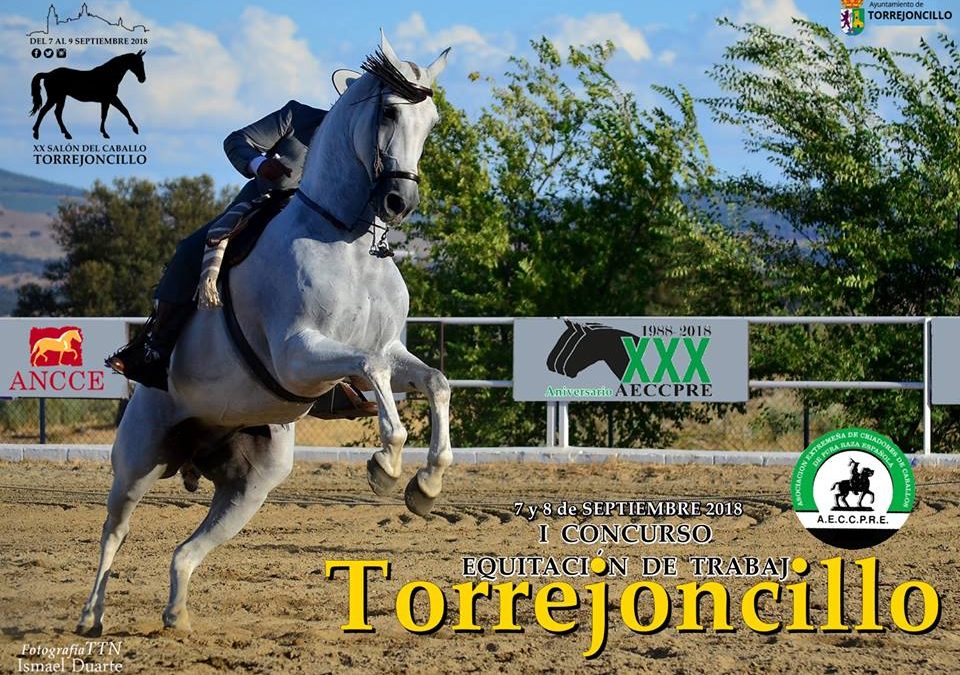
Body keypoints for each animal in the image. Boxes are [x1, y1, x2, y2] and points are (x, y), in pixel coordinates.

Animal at [76, 32, 451, 637]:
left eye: (432, 121)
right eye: (391, 112)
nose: (400, 204)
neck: (346, 240)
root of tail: (196, 450)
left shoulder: (391, 348)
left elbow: (434, 380)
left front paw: (426, 486)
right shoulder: (298, 356)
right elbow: (370, 368)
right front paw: (387, 467)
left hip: (251, 486)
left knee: (186, 552)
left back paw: (177, 614)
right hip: (135, 460)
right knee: (116, 532)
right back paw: (91, 616)